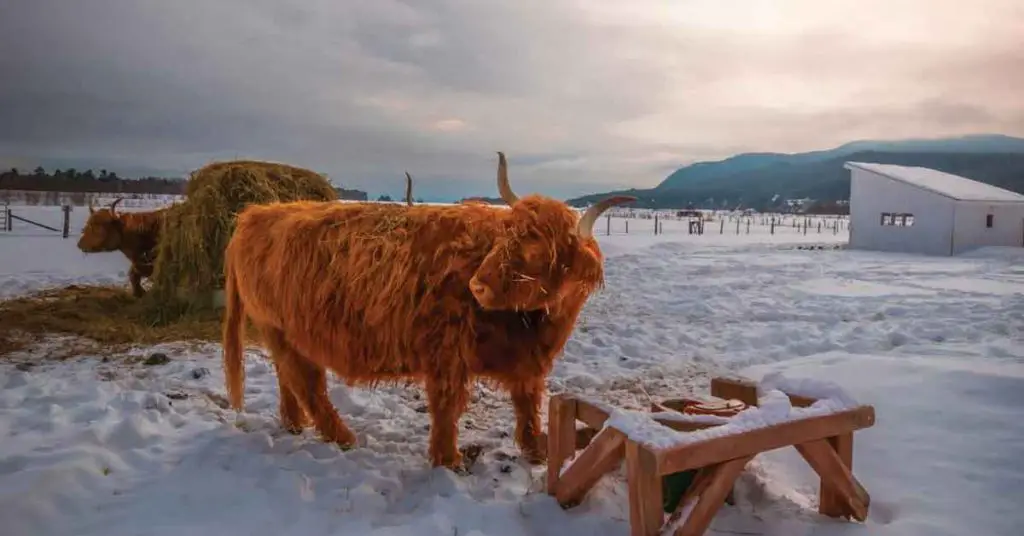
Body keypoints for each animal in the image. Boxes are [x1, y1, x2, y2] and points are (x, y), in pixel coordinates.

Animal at [222, 151, 630, 469]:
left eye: (538, 250)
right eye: (506, 237)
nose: (478, 286)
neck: (531, 323)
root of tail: (256, 215)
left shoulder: (528, 363)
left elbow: (527, 405)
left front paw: (536, 452)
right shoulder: (446, 354)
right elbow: (447, 408)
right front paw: (448, 461)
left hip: (283, 332)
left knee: (288, 378)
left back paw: (294, 424)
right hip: (279, 329)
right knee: (307, 384)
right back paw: (343, 437)